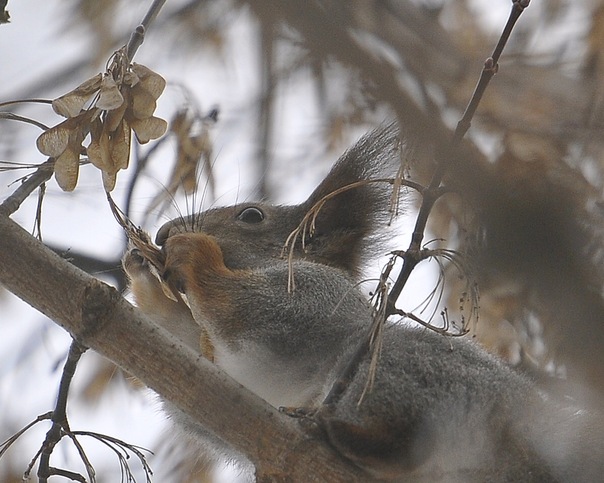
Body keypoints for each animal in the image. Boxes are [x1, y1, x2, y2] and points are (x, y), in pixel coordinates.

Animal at [122, 125, 604, 483]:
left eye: (251, 216)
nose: (163, 232)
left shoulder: (317, 295)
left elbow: (254, 304)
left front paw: (192, 253)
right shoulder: (212, 374)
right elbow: (187, 356)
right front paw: (143, 276)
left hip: (390, 372)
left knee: (403, 438)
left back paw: (347, 434)